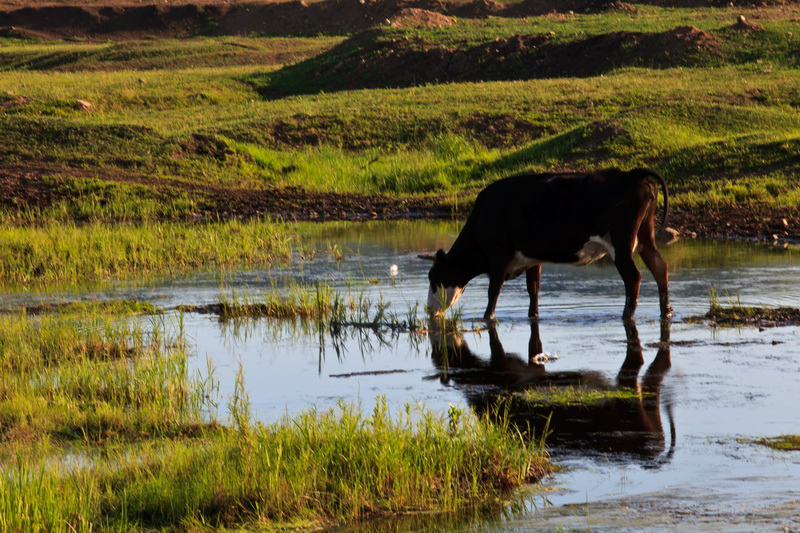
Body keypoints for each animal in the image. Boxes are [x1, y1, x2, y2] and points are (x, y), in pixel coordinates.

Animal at [424, 166, 676, 320]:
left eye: (433, 277)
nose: (429, 309)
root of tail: (631, 174)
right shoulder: (532, 258)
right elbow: (533, 290)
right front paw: (533, 315)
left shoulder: (499, 255)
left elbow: (493, 291)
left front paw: (487, 318)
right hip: (645, 238)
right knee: (659, 267)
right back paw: (666, 312)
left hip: (621, 244)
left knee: (634, 277)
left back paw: (628, 314)